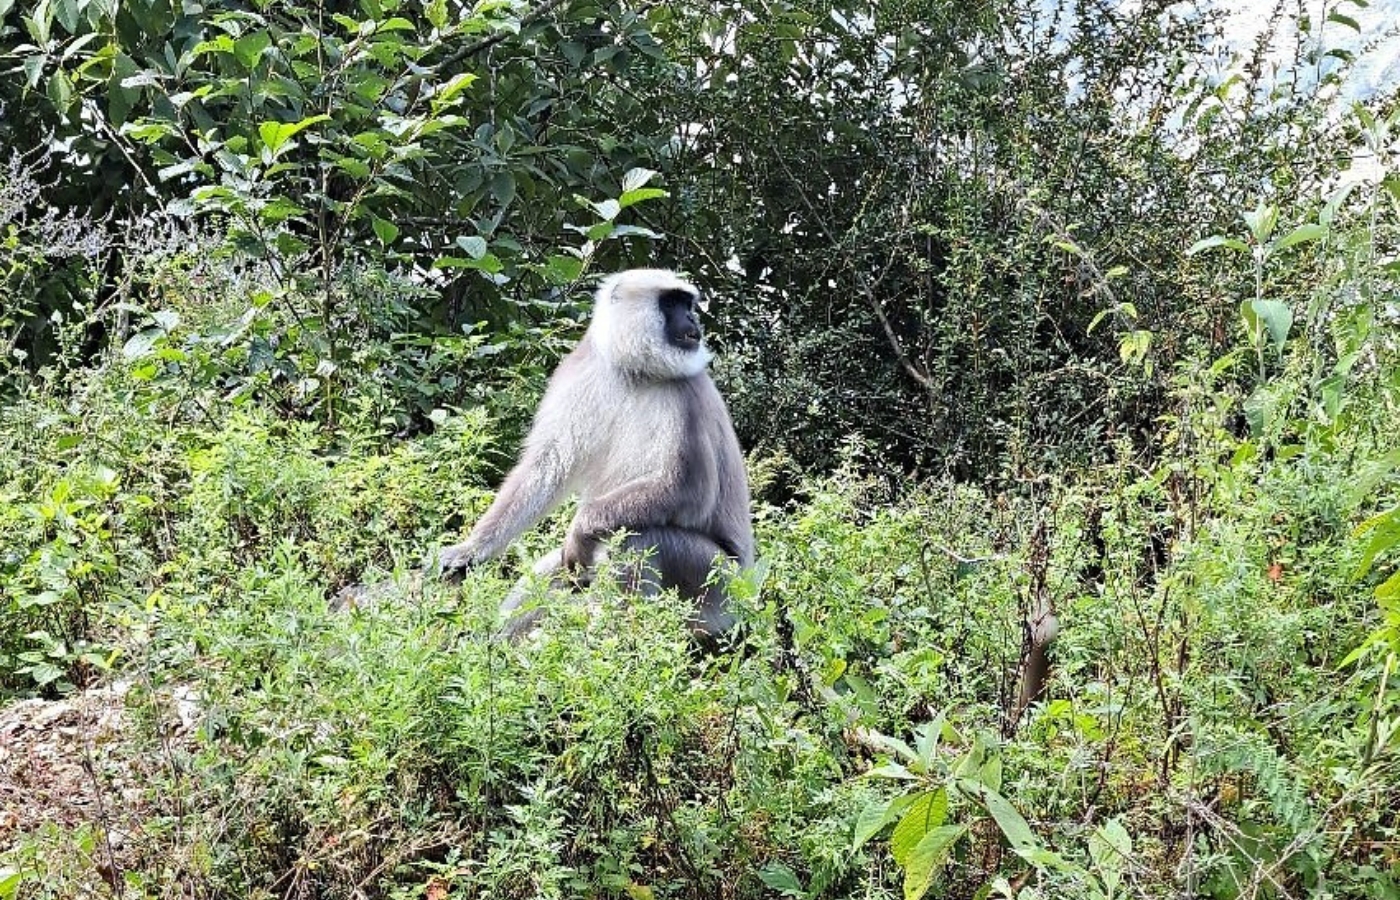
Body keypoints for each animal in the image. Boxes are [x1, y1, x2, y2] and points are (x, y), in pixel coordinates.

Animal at [442, 267, 761, 641]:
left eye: (688, 304)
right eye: (672, 303)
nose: (693, 319)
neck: (634, 374)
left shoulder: (685, 393)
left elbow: (687, 489)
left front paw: (579, 529)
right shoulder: (579, 372)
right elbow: (545, 467)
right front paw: (469, 550)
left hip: (717, 584)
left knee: (639, 539)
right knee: (552, 571)